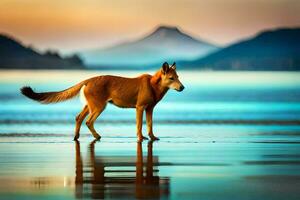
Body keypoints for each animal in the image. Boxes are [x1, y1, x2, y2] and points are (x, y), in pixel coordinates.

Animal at [20, 61, 183, 141]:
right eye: (171, 78)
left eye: (178, 77)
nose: (183, 87)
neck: (153, 86)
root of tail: (88, 79)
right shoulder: (140, 107)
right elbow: (139, 126)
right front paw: (140, 138)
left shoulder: (150, 109)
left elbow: (150, 125)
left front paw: (152, 138)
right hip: (99, 107)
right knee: (88, 121)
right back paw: (96, 136)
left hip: (90, 106)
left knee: (78, 118)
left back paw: (76, 137)